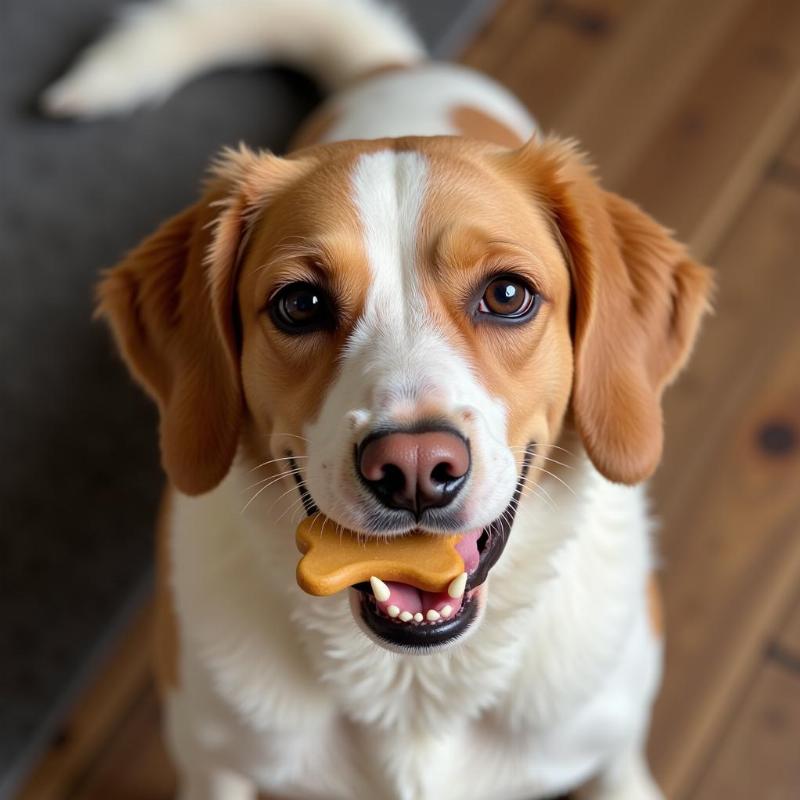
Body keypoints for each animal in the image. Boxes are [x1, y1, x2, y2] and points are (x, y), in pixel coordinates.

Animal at [42, 3, 712, 796]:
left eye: (507, 294)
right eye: (299, 304)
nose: (415, 468)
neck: (415, 687)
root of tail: (393, 70)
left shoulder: (609, 750)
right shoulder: (216, 764)